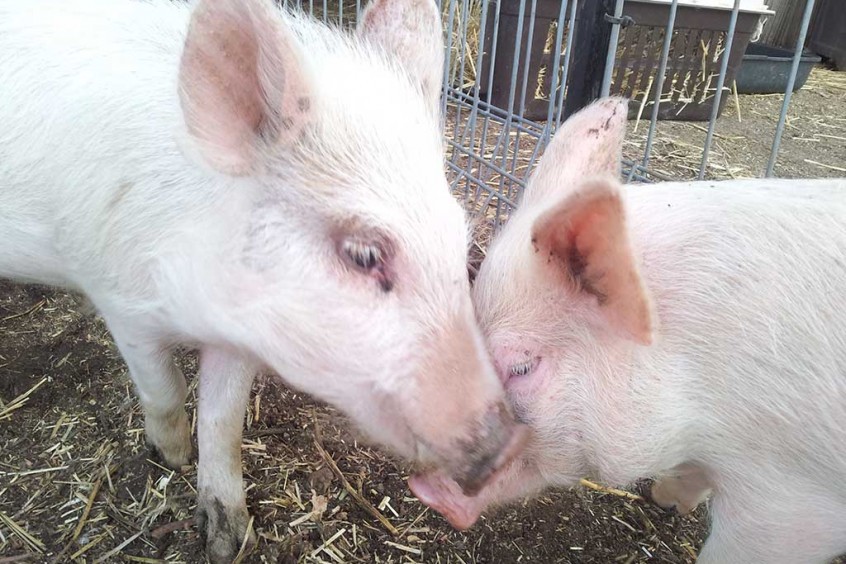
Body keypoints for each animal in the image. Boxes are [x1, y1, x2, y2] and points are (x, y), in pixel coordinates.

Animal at [0, 0, 528, 560]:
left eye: (460, 240)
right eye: (363, 254)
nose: (509, 442)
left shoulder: (241, 334)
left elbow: (224, 420)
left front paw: (229, 542)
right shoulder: (119, 299)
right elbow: (164, 389)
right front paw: (172, 457)